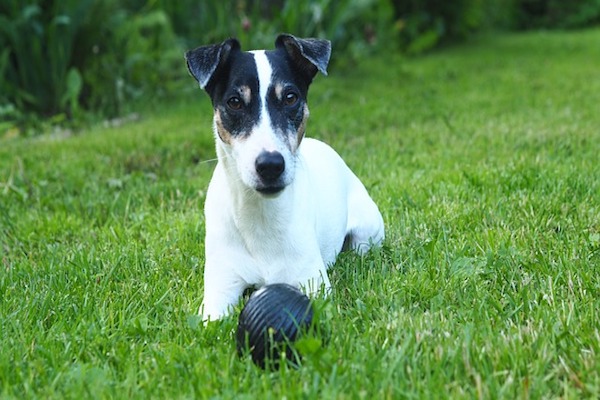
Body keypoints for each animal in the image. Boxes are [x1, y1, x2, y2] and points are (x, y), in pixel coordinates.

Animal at [185, 34, 386, 322]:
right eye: (234, 102)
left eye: (290, 98)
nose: (270, 165)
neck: (260, 215)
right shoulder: (220, 289)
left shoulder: (313, 284)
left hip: (367, 233)